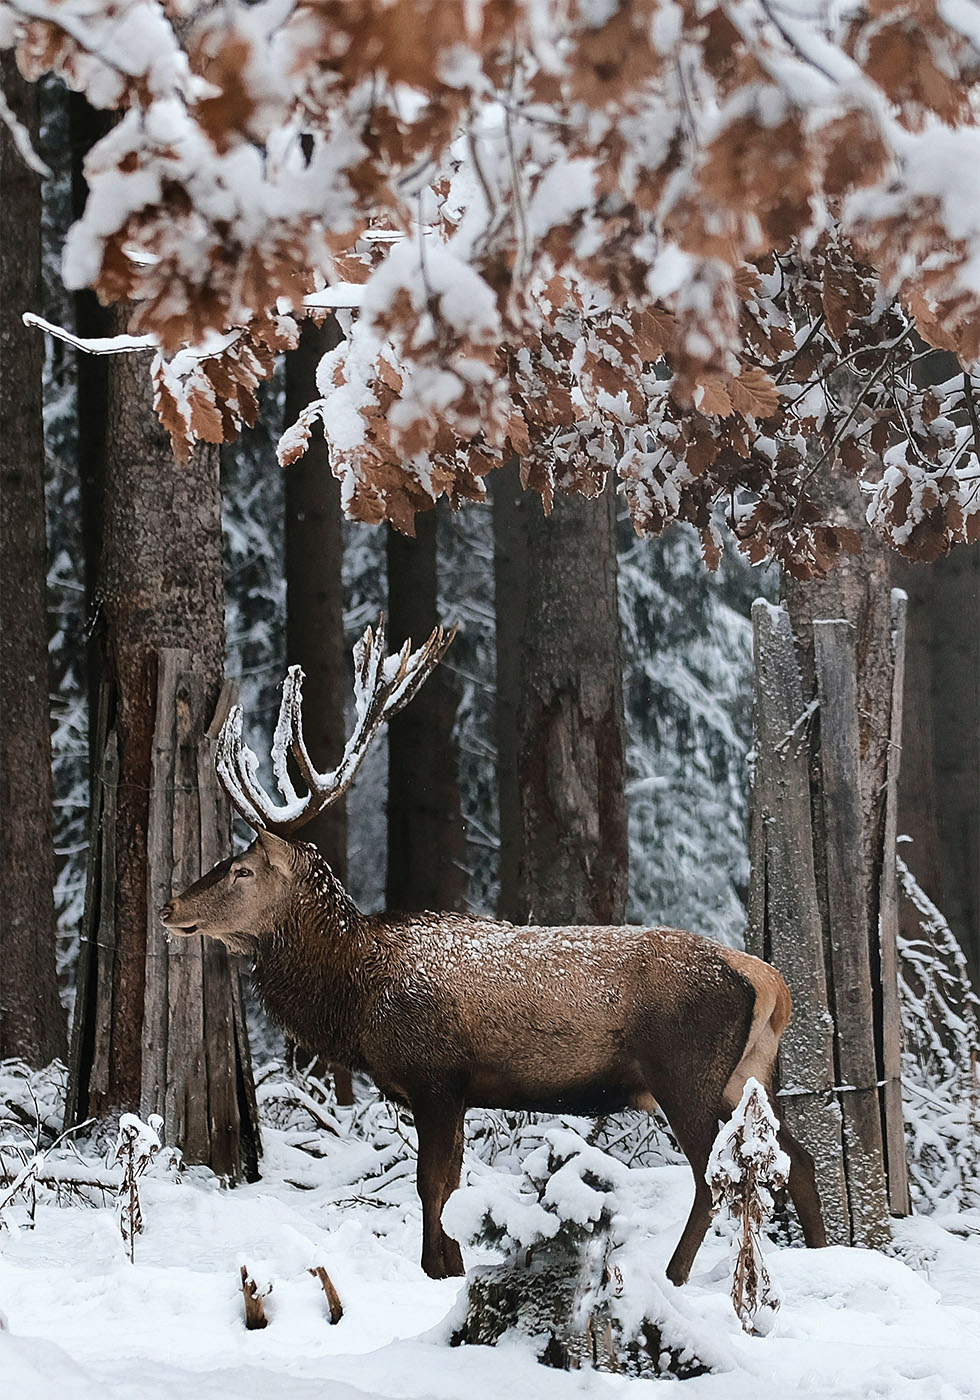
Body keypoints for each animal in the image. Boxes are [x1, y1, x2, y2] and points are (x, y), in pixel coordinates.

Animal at [161, 618, 828, 1282]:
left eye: (242, 870)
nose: (170, 908)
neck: (356, 996)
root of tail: (766, 980)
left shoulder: (434, 1074)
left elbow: (432, 1185)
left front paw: (436, 1270)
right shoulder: (452, 1088)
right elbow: (452, 1181)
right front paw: (454, 1265)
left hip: (685, 1071)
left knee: (714, 1178)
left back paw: (673, 1275)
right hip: (746, 1074)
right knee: (797, 1159)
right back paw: (825, 1255)